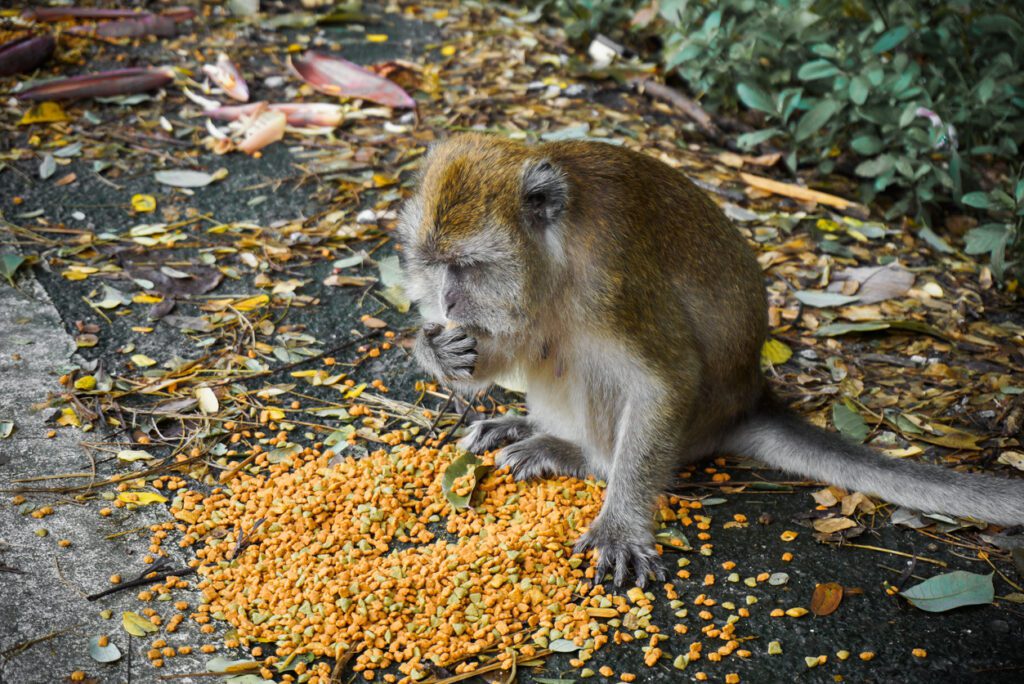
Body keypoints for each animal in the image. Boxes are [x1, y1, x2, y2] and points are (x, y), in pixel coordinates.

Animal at [395, 132, 1024, 589]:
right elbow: (513, 340)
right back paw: (527, 426)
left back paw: (575, 453)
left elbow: (666, 378)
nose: (445, 302)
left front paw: (621, 524)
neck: (556, 253)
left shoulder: (613, 282)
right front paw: (437, 349)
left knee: (590, 363)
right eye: (432, 265)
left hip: (695, 422)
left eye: (467, 267)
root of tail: (748, 396)